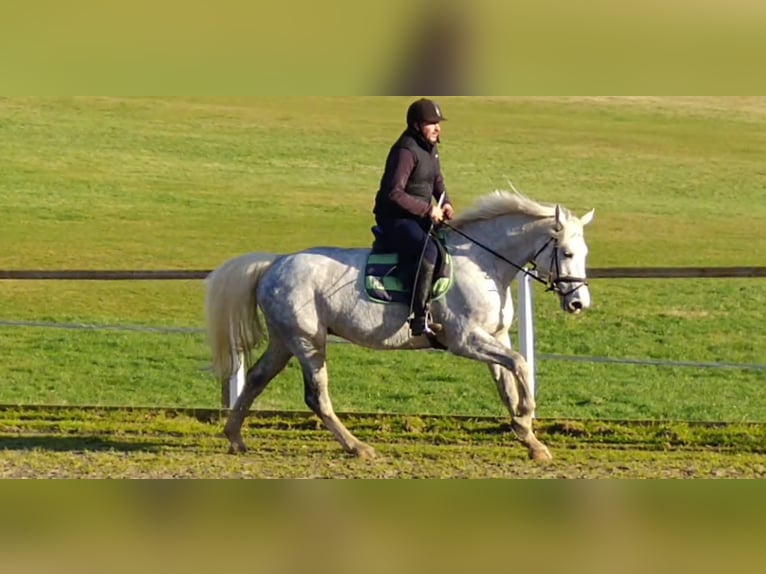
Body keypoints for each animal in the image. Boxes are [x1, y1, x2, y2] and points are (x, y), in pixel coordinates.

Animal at [204, 190, 594, 461]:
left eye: (584, 253)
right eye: (567, 253)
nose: (579, 303)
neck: (483, 263)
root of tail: (275, 263)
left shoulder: (493, 337)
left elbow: (509, 383)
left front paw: (530, 441)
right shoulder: (466, 340)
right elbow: (521, 364)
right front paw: (526, 418)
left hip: (284, 341)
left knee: (256, 378)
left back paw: (235, 437)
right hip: (308, 342)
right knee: (316, 396)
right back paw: (358, 447)